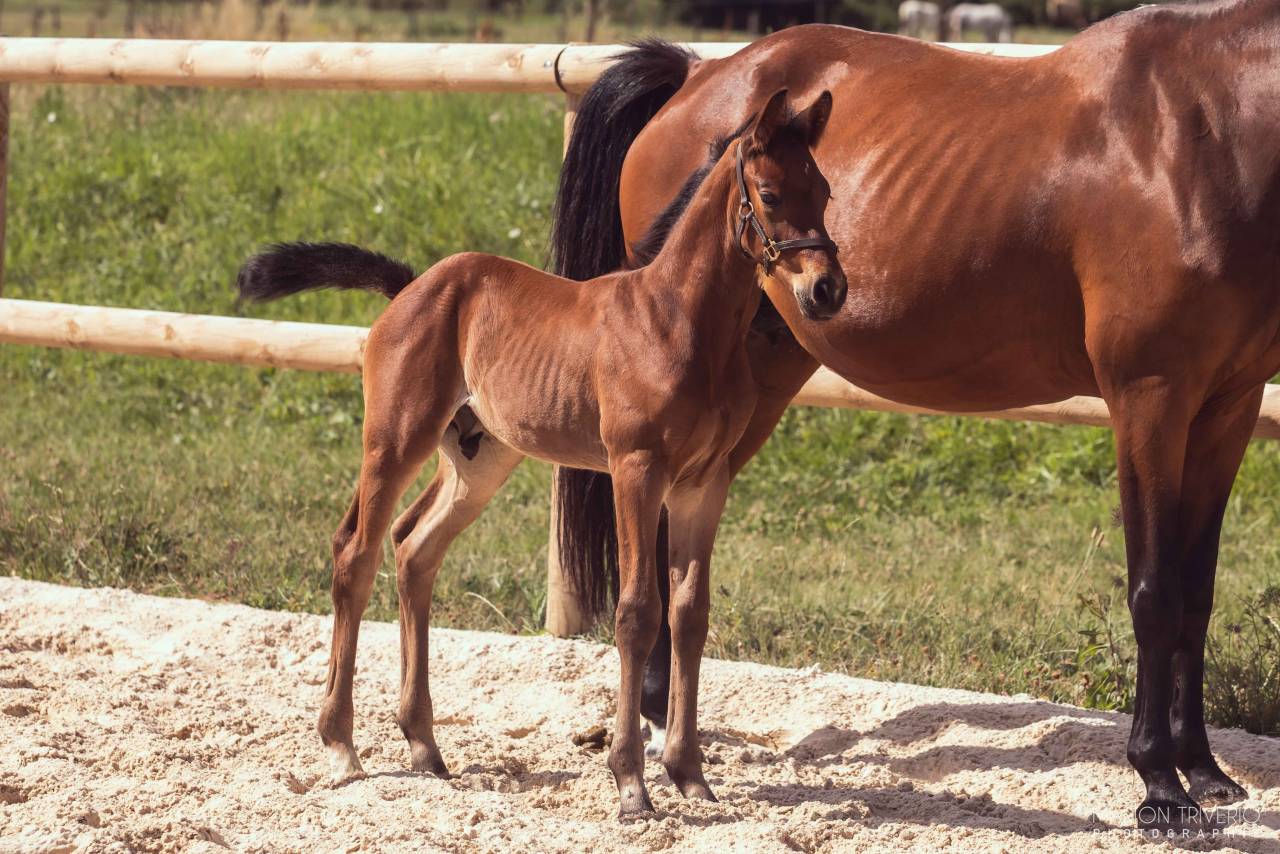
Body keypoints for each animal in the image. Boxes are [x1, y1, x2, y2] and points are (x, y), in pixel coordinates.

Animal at [236, 89, 846, 817]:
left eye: (826, 190)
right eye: (773, 195)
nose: (828, 290)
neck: (681, 322)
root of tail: (412, 285)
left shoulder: (706, 483)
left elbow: (689, 615)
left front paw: (690, 774)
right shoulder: (636, 470)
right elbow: (638, 613)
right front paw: (631, 784)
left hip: (479, 457)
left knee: (414, 547)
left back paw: (425, 746)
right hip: (395, 438)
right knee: (355, 553)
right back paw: (341, 746)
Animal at [552, 1, 1280, 828]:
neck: (1201, 135)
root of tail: (696, 75)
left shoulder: (1226, 406)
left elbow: (1196, 590)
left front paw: (1206, 772)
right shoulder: (1149, 399)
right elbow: (1155, 591)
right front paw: (1160, 783)